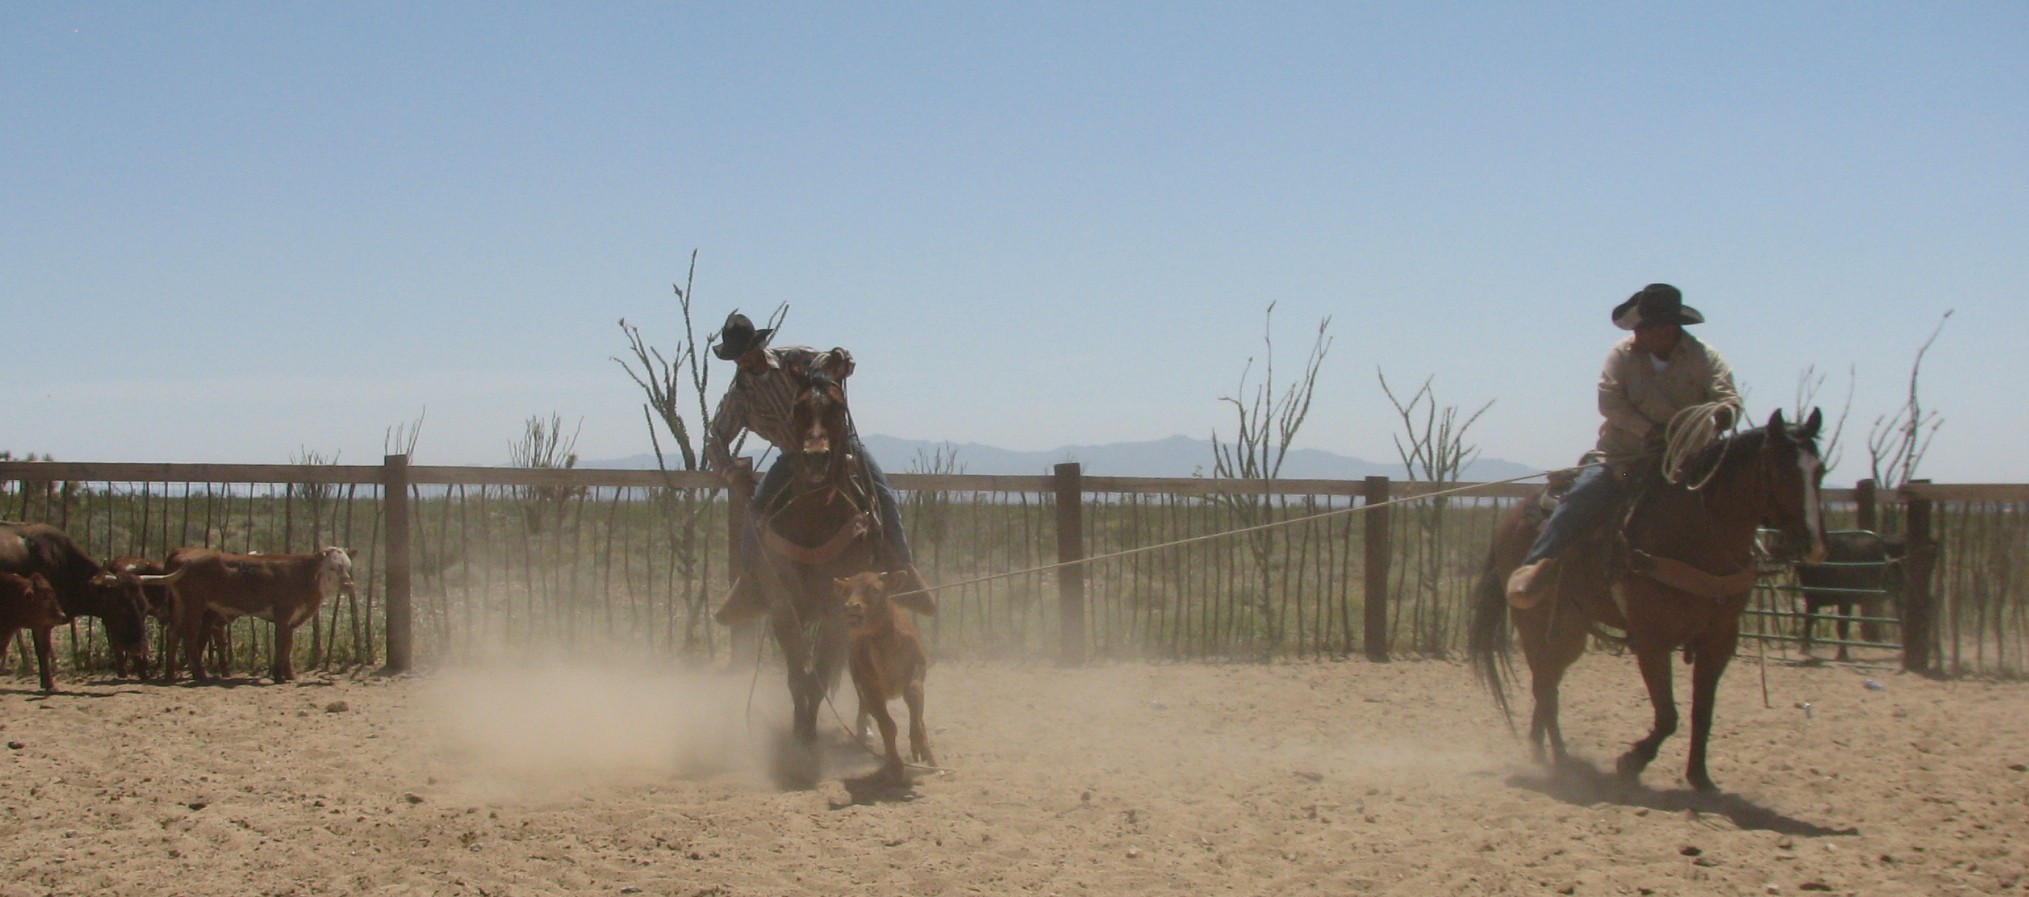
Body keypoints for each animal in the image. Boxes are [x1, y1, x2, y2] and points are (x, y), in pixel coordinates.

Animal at [749, 365, 882, 772]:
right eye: (798, 407)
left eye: (838, 408)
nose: (815, 458)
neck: (813, 521)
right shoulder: (783, 609)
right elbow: (799, 677)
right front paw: (799, 734)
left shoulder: (838, 615)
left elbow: (820, 676)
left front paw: (808, 736)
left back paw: (865, 728)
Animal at [1467, 409, 1829, 793]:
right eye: (1778, 470)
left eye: (1820, 470)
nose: (1814, 545)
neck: (1696, 531)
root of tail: (1512, 518)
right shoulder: (1653, 638)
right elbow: (1668, 715)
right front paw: (1632, 760)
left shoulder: (1720, 639)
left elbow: (1702, 711)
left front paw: (1699, 777)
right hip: (1533, 624)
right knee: (1545, 687)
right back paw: (1562, 763)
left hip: (1569, 630)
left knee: (1547, 684)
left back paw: (1541, 752)